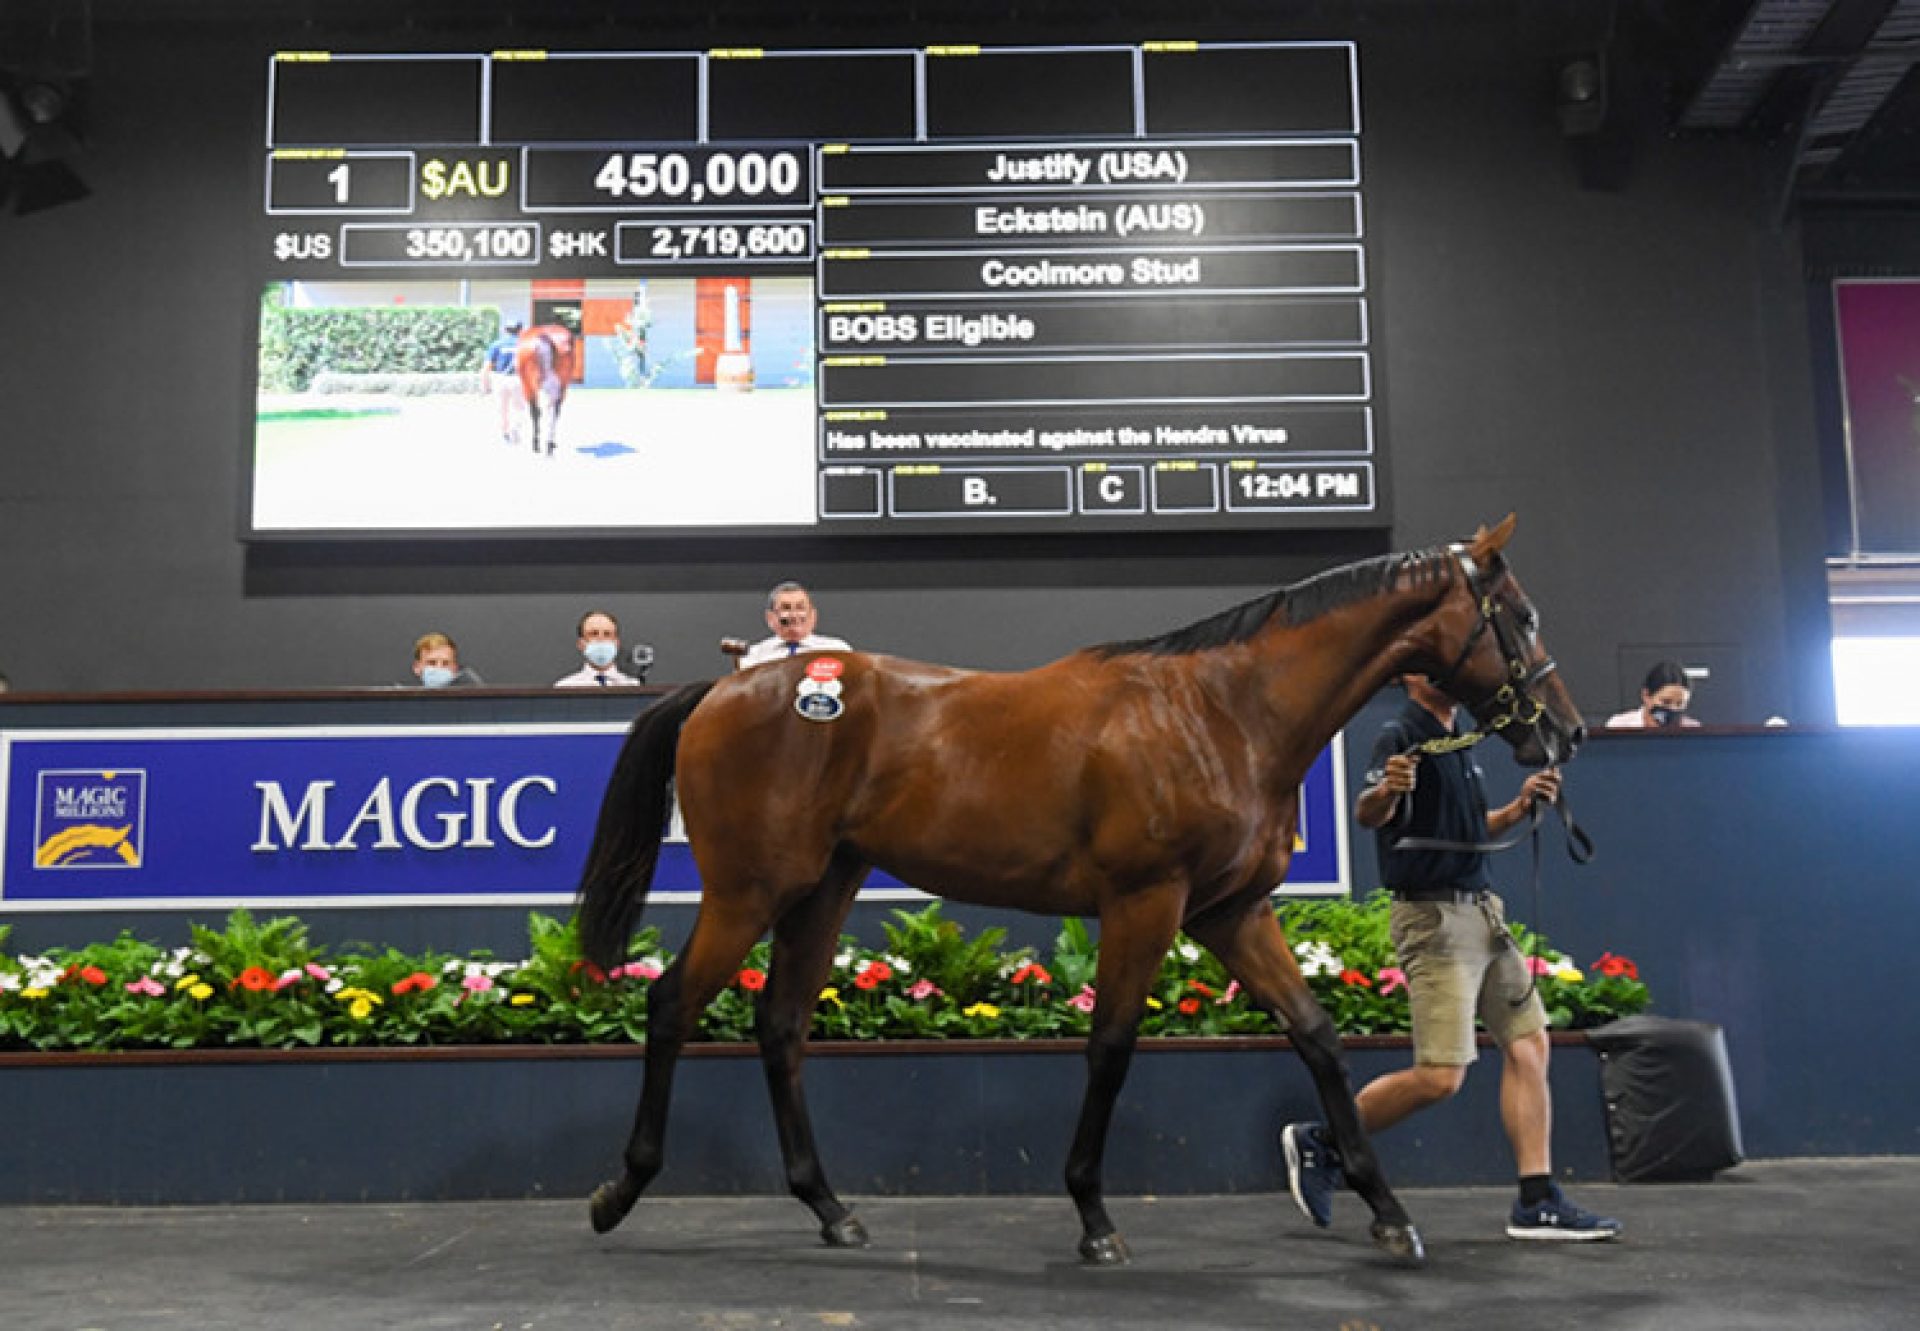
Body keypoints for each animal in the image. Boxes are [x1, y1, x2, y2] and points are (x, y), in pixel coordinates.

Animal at [510, 322, 576, 457]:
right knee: (553, 410)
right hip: (561, 384)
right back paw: (549, 444)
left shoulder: (527, 385)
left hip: (534, 385)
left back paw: (539, 444)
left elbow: (535, 411)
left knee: (540, 411)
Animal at [572, 510, 1589, 1267]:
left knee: (780, 1028)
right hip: (749, 891)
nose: (1566, 732)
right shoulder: (1146, 902)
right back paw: (619, 1190)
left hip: (821, 892)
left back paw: (831, 1208)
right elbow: (1112, 1046)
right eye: (1525, 615)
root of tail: (724, 689)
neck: (1223, 713)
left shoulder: (1230, 912)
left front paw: (1385, 1209)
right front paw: (1094, 1216)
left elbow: (1318, 1037)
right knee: (671, 1005)